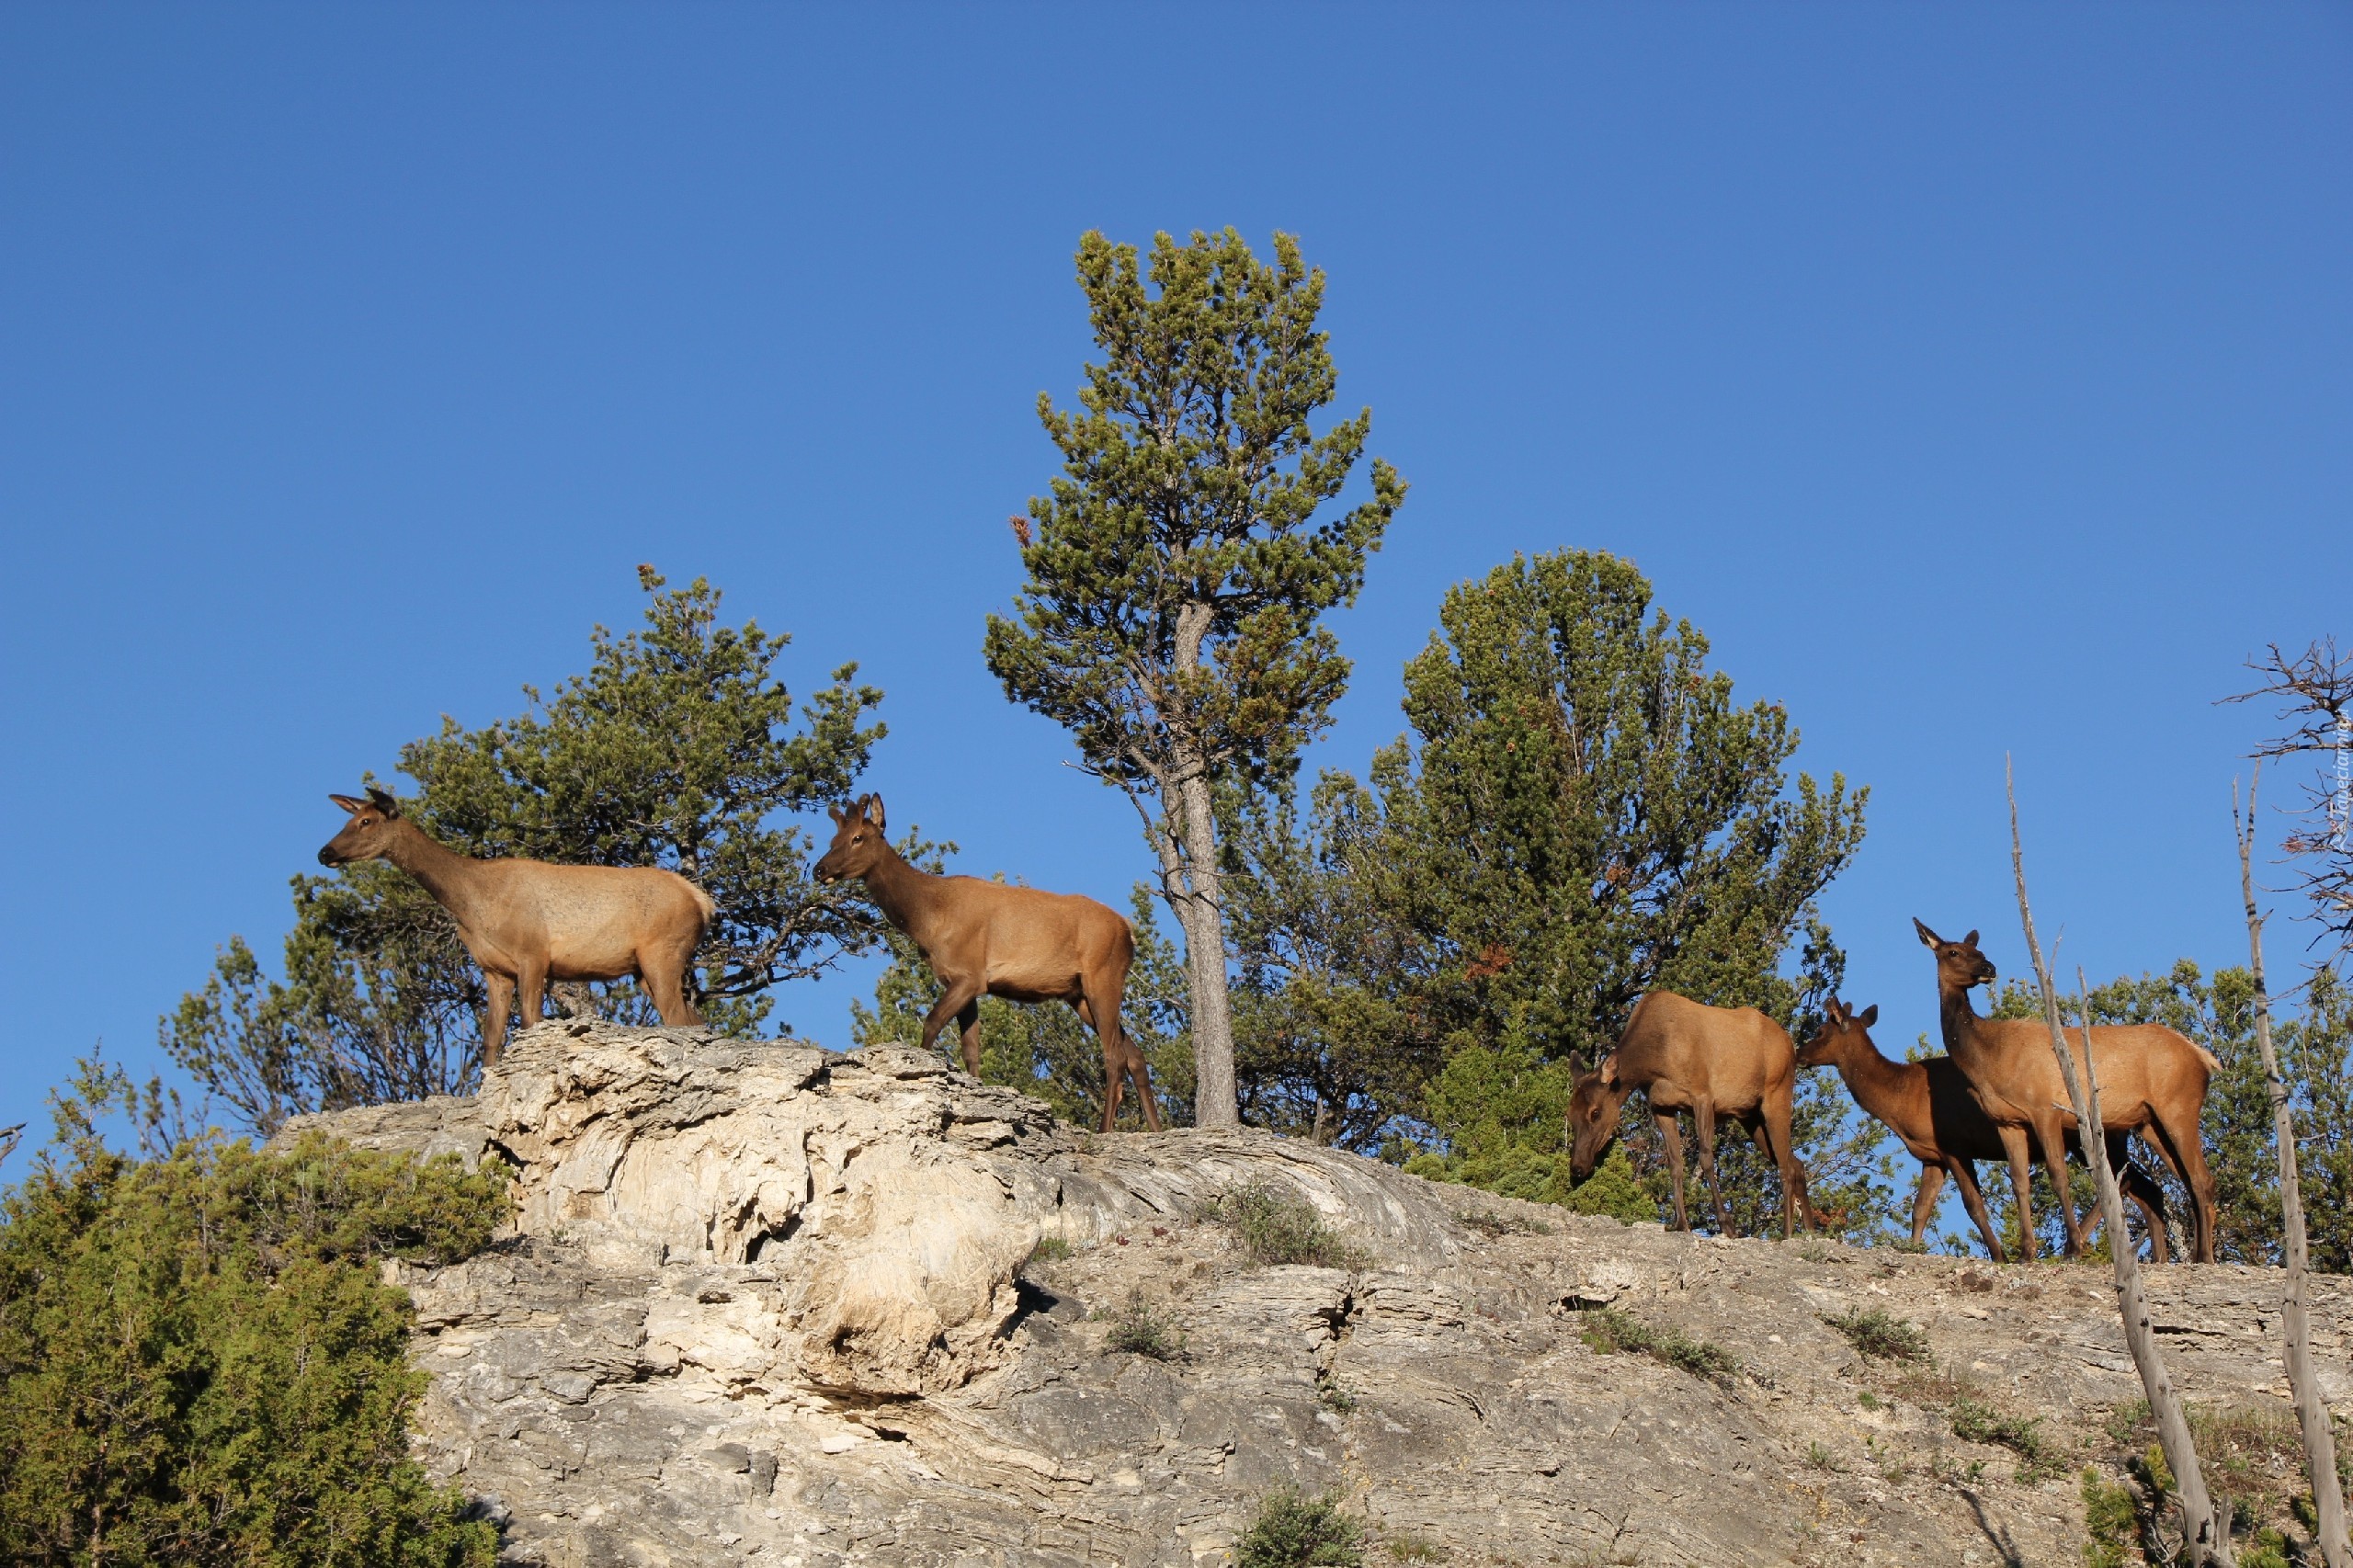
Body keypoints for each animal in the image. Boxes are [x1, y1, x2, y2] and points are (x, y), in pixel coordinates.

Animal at [317, 786, 710, 1068]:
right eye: (352, 819)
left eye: (367, 822)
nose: (324, 853)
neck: (472, 904)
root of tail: (702, 902)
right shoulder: (495, 970)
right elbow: (491, 1037)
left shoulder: (533, 954)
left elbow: (529, 1022)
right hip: (644, 968)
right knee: (694, 1020)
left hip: (663, 950)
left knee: (679, 1018)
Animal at [813, 786, 1162, 1130]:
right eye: (832, 840)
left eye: (858, 837)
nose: (819, 869)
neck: (927, 918)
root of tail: (1129, 933)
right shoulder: (959, 981)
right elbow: (971, 1050)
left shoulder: (970, 975)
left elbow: (932, 1023)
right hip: (1078, 994)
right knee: (1135, 1054)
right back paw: (1158, 1129)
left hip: (1102, 975)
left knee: (1115, 1055)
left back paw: (1105, 1130)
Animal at [1572, 988, 1825, 1233]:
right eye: (1569, 1114)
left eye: (1595, 1113)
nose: (1577, 1167)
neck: (1654, 1061)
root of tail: (1791, 1046)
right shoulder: (1660, 1107)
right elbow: (1675, 1164)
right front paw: (1680, 1223)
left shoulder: (1702, 1094)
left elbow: (1705, 1158)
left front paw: (1726, 1223)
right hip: (1750, 1116)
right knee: (1796, 1163)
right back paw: (1811, 1233)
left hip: (1777, 1093)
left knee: (1785, 1166)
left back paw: (1787, 1233)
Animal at [1797, 1003, 2165, 1261]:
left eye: (1820, 1030)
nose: (1799, 1053)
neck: (1901, 1099)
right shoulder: (1932, 1156)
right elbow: (1920, 1208)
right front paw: (1912, 1248)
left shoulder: (1954, 1144)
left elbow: (1973, 1204)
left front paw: (2001, 1254)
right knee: (2147, 1187)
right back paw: (2159, 1258)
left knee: (2124, 1183)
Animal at [1910, 918, 2221, 1261]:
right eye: (1953, 952)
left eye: (1978, 950)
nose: (1989, 968)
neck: (1989, 1058)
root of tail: (2204, 1058)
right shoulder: (2008, 1121)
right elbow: (2020, 1183)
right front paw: (2026, 1252)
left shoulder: (2045, 1108)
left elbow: (2059, 1176)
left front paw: (2072, 1247)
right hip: (2149, 1122)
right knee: (2185, 1179)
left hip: (2178, 1106)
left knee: (2201, 1178)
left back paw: (2205, 1257)